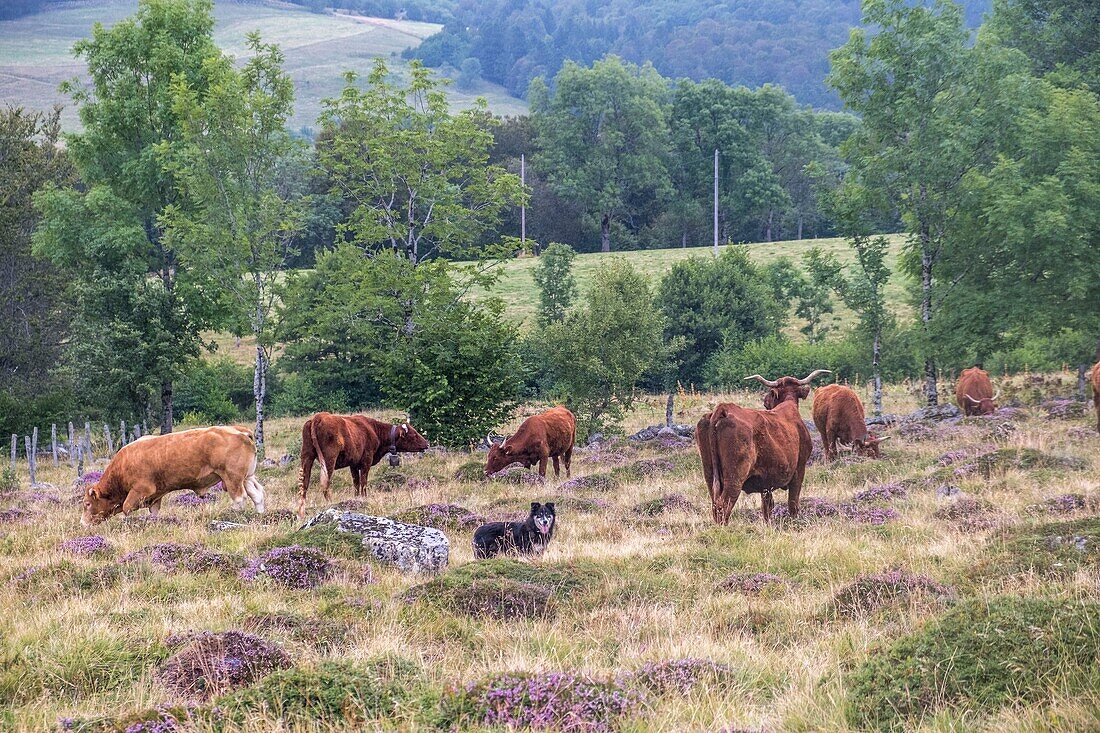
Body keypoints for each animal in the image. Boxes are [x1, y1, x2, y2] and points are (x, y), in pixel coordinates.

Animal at [79, 422, 264, 526]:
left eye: (87, 503)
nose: (82, 523)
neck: (123, 464)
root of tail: (239, 430)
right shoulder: (155, 497)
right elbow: (153, 512)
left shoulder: (140, 490)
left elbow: (126, 507)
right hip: (246, 477)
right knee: (257, 494)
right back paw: (259, 514)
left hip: (232, 478)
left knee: (239, 498)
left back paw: (234, 515)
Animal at [297, 413, 429, 517]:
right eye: (414, 434)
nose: (427, 444)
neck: (374, 430)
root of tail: (319, 416)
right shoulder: (367, 460)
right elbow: (364, 481)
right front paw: (364, 497)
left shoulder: (354, 464)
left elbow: (356, 482)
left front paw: (356, 498)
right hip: (329, 458)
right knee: (325, 482)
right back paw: (330, 502)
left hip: (306, 455)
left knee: (304, 484)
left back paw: (301, 512)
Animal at [695, 372, 831, 519]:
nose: (765, 402)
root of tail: (723, 408)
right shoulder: (799, 470)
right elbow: (793, 504)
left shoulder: (766, 483)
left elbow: (767, 508)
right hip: (734, 476)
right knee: (724, 505)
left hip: (710, 475)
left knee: (715, 505)